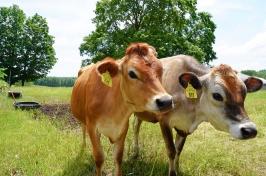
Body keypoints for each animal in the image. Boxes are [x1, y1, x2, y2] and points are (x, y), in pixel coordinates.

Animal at [71, 43, 174, 176]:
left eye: (161, 70)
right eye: (132, 73)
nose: (166, 101)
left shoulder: (123, 127)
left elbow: (118, 157)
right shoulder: (92, 127)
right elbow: (99, 157)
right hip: (83, 121)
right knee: (83, 130)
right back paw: (83, 146)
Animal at [133, 54, 262, 175]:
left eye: (245, 93)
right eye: (217, 95)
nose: (250, 130)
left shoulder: (184, 128)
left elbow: (178, 149)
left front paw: (178, 169)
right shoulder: (164, 121)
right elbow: (171, 151)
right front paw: (172, 172)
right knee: (135, 129)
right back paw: (135, 154)